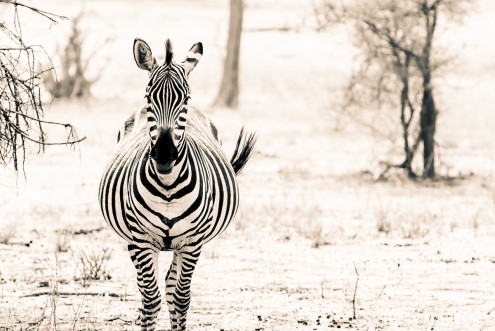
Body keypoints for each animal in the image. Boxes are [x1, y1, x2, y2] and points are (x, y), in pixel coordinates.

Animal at [99, 37, 258, 330]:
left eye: (185, 98)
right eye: (149, 97)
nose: (164, 154)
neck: (168, 187)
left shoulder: (192, 242)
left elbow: (181, 298)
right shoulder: (142, 240)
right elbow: (151, 300)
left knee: (172, 287)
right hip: (134, 240)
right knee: (146, 291)